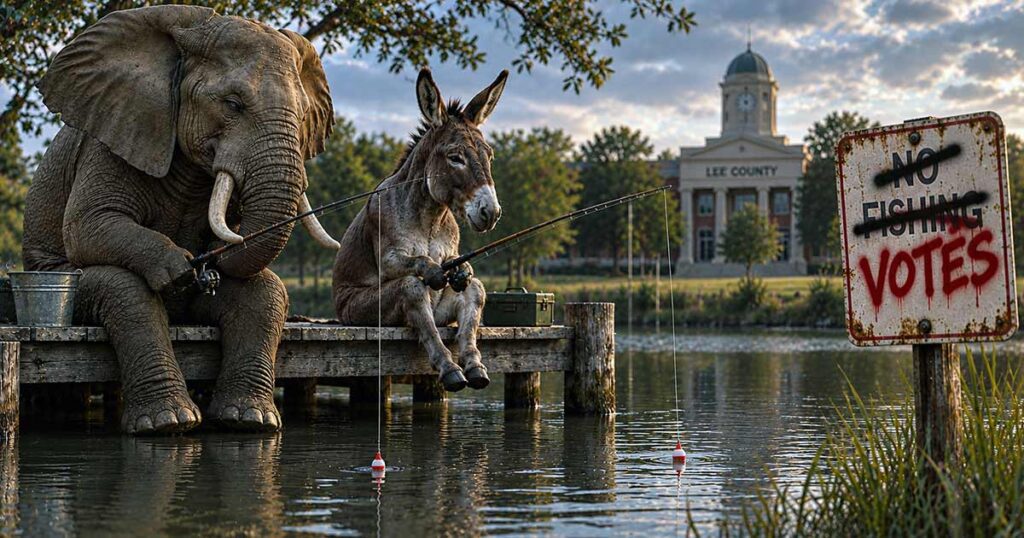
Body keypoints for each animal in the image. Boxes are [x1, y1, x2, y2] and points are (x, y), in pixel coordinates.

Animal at [22, 5, 340, 434]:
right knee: (123, 288)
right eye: (232, 104)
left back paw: (250, 419)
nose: (208, 256)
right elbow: (89, 224)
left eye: (304, 115)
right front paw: (178, 267)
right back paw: (169, 422)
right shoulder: (119, 128)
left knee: (265, 292)